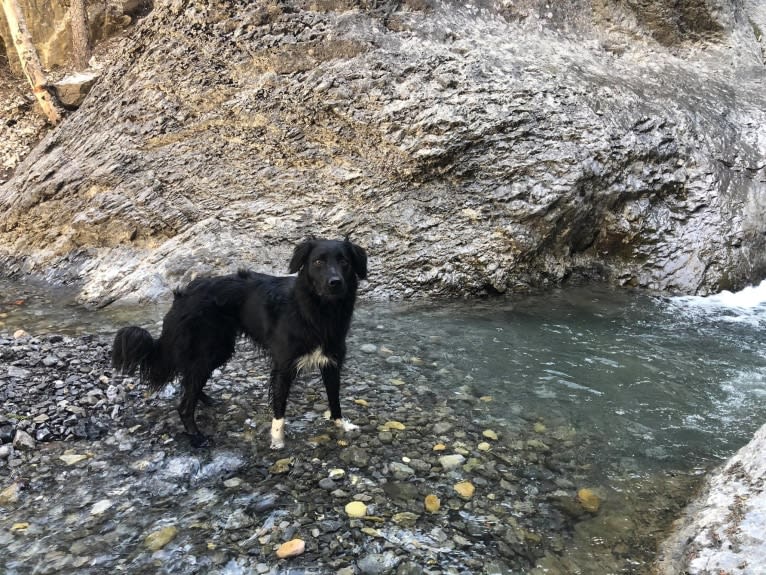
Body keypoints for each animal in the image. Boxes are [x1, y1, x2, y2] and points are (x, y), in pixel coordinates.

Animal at [110, 238, 368, 450]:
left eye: (344, 261)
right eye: (318, 262)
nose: (335, 282)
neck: (317, 313)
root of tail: (182, 295)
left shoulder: (332, 363)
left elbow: (335, 399)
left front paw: (341, 425)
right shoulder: (283, 367)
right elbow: (279, 408)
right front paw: (277, 441)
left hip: (218, 351)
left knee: (189, 380)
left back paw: (205, 401)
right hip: (206, 351)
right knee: (184, 403)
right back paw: (197, 437)